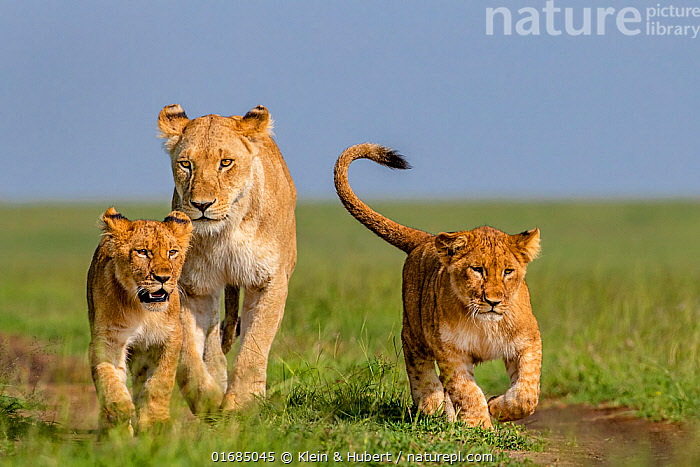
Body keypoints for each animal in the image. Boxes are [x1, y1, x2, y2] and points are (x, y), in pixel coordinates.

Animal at [87, 207, 192, 434]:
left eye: (172, 252)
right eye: (142, 252)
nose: (163, 278)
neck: (143, 312)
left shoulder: (171, 337)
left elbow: (160, 383)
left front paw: (155, 423)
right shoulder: (108, 339)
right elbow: (108, 376)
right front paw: (119, 409)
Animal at [157, 104, 297, 414]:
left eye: (225, 162)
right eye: (186, 164)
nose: (201, 205)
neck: (224, 233)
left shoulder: (270, 280)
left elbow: (255, 345)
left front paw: (241, 403)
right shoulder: (191, 288)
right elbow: (187, 353)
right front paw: (207, 400)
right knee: (211, 343)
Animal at [334, 143, 542, 428]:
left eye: (508, 272)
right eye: (477, 270)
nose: (493, 301)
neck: (485, 323)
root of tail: (426, 239)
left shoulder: (528, 341)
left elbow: (527, 393)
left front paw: (497, 407)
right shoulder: (450, 351)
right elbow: (467, 391)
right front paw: (480, 424)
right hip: (414, 328)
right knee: (418, 364)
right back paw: (430, 403)